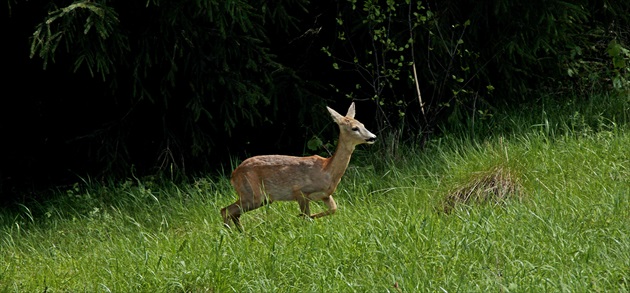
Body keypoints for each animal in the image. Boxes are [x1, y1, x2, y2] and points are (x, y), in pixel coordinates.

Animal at [222, 101, 378, 229]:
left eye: (363, 125)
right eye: (354, 128)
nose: (373, 137)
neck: (327, 170)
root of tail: (233, 174)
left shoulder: (325, 195)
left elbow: (333, 209)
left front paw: (310, 218)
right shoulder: (300, 192)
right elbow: (306, 216)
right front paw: (304, 221)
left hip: (261, 197)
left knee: (232, 212)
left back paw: (239, 233)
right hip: (253, 193)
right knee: (226, 210)